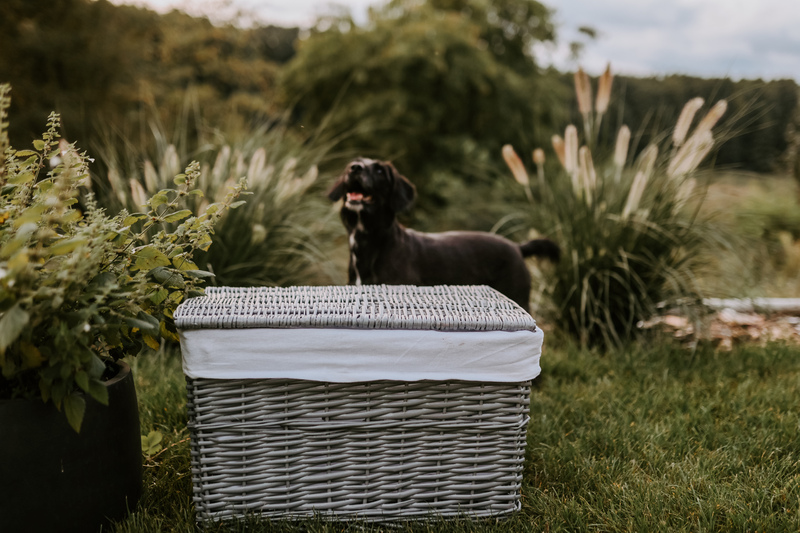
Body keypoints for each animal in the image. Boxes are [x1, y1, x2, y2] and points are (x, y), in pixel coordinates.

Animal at [328, 158, 560, 312]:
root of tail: (517, 247)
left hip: (518, 296)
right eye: (354, 162)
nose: (355, 168)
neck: (371, 242)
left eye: (378, 171)